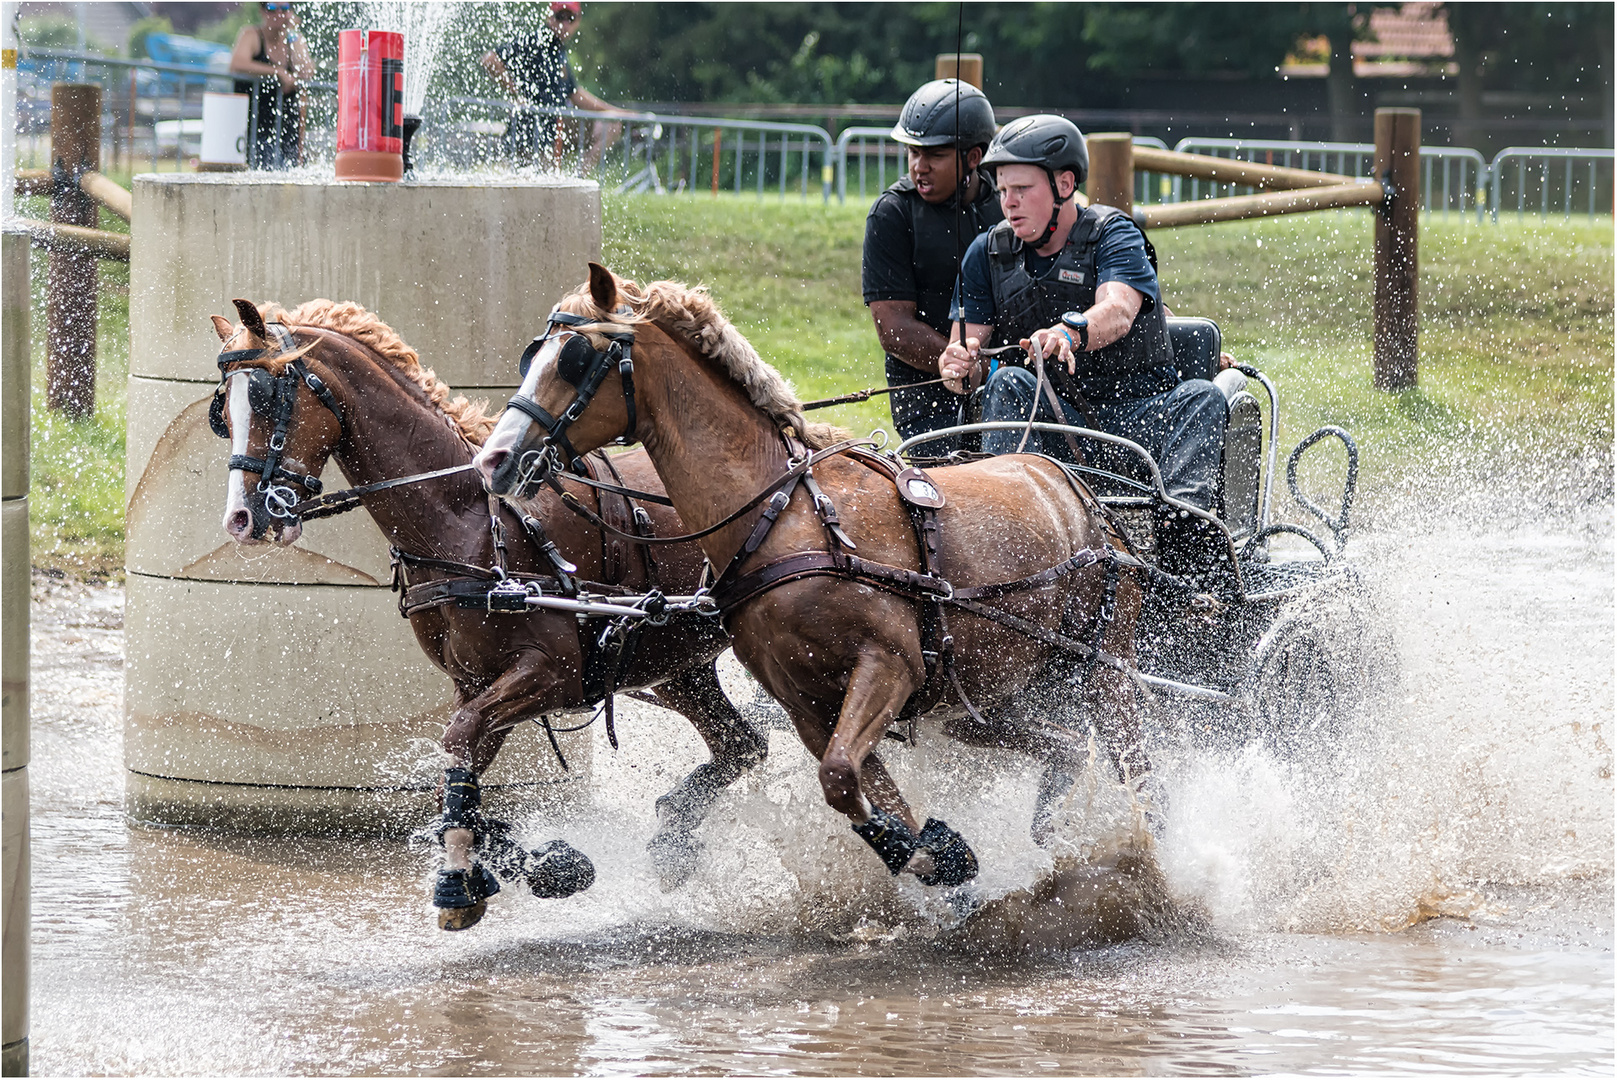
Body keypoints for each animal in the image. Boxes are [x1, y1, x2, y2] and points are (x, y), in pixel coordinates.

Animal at [211, 297, 766, 931]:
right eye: (222, 411)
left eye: (266, 396)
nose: (241, 519)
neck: (471, 521)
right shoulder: (475, 681)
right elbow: (459, 765)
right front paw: (525, 860)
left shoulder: (552, 673)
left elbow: (458, 739)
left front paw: (465, 878)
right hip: (675, 663)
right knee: (742, 746)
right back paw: (675, 834)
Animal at [472, 265, 1144, 892]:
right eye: (534, 355)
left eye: (577, 359)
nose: (493, 460)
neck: (782, 514)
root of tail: (1075, 486)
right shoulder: (807, 704)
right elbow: (854, 789)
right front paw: (934, 855)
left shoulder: (889, 664)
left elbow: (841, 778)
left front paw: (933, 854)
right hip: (989, 692)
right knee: (1062, 746)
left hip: (1107, 675)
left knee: (1135, 766)